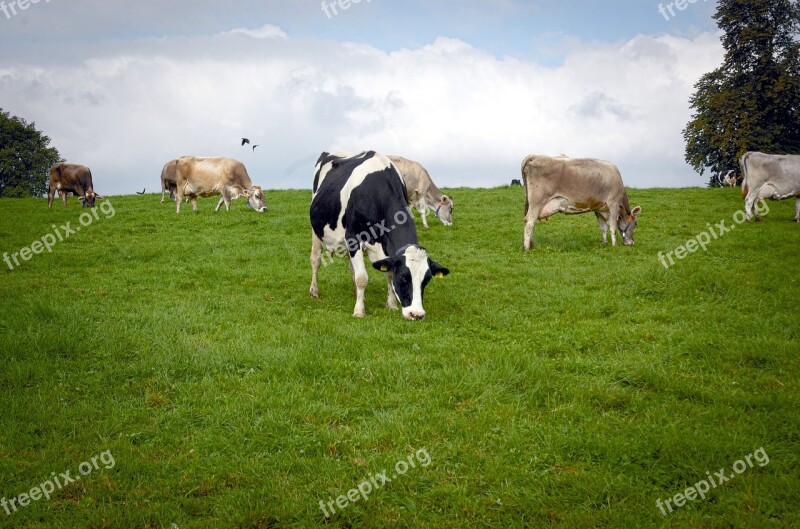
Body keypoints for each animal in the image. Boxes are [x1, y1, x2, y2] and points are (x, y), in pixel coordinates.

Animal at [310, 151, 450, 320]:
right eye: (403, 276)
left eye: (427, 279)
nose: (416, 314)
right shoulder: (353, 238)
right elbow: (362, 278)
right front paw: (359, 311)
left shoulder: (386, 248)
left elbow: (387, 274)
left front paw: (391, 305)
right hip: (316, 232)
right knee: (315, 260)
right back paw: (314, 291)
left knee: (351, 267)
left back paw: (357, 294)